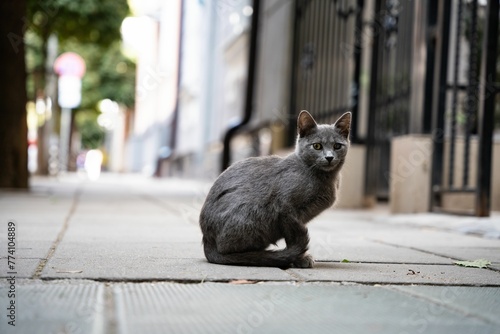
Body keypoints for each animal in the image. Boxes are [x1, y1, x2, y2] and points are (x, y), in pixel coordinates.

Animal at [199, 111, 352, 268]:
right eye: (317, 146)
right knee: (227, 249)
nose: (329, 157)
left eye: (337, 146)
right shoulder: (285, 207)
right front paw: (300, 259)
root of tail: (207, 240)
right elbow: (291, 236)